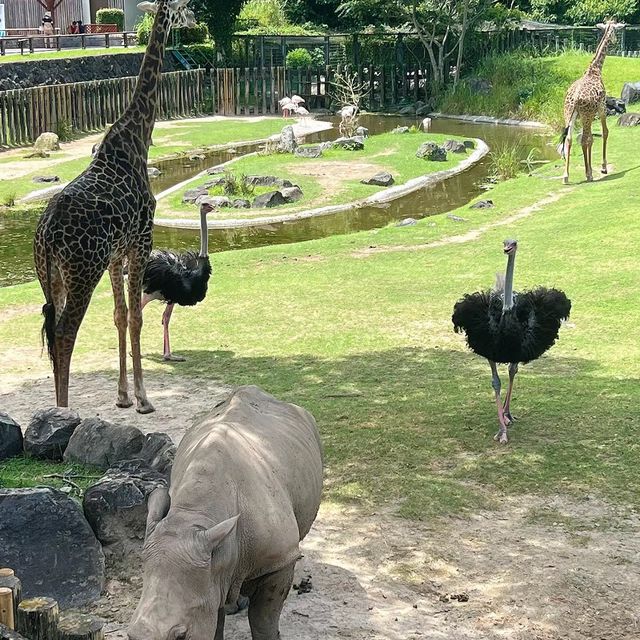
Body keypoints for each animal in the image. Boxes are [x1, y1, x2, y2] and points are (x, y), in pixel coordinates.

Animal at [33, 1, 195, 416]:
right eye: (181, 8)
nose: (191, 22)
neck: (139, 135)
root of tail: (46, 235)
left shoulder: (115, 256)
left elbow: (120, 316)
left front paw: (122, 395)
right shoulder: (141, 241)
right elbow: (136, 317)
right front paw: (143, 399)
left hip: (51, 277)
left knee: (51, 330)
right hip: (81, 273)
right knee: (64, 332)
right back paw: (63, 412)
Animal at [560, 20, 624, 185]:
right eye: (615, 31)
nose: (615, 41)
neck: (595, 69)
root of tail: (575, 99)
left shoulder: (591, 113)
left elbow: (591, 139)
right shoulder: (601, 108)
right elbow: (604, 132)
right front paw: (602, 167)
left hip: (569, 114)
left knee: (569, 139)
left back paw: (566, 176)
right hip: (586, 115)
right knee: (583, 139)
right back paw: (588, 175)